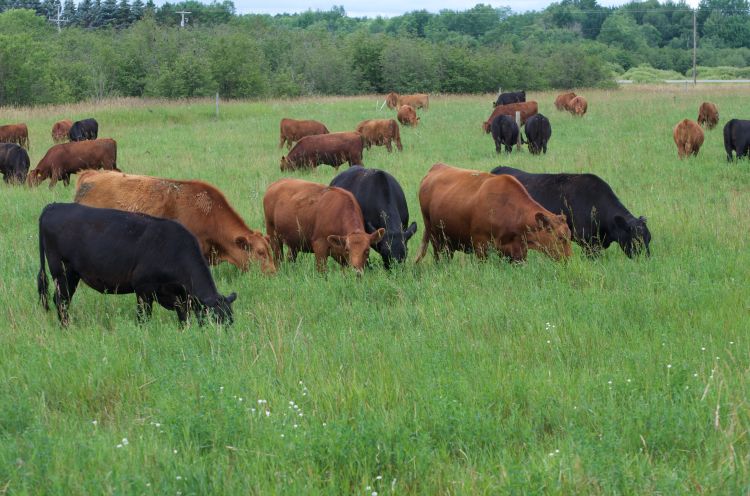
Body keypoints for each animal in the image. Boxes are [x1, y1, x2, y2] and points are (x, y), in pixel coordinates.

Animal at [37, 203, 237, 327]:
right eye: (215, 319)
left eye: (231, 321)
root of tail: (54, 206)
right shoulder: (143, 289)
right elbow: (143, 318)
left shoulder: (181, 298)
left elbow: (183, 319)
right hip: (61, 271)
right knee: (61, 301)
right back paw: (65, 327)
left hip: (72, 275)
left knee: (62, 299)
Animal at [414, 163, 572, 263]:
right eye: (560, 238)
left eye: (569, 236)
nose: (568, 259)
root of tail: (437, 167)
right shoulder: (480, 246)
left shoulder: (517, 252)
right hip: (435, 237)